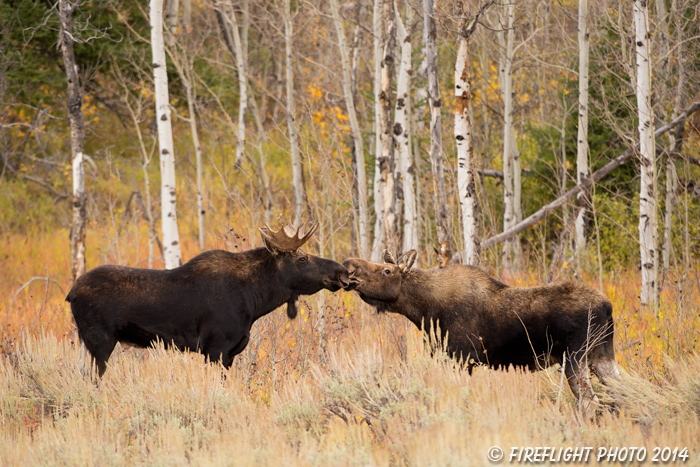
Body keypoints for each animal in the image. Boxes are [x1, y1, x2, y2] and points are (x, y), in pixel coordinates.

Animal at [65, 222, 350, 376]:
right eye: (302, 258)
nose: (342, 272)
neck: (255, 301)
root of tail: (70, 294)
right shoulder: (216, 348)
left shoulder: (229, 353)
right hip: (100, 342)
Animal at [342, 250, 620, 414]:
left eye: (386, 271)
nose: (348, 264)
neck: (423, 310)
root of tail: (607, 307)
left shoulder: (461, 358)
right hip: (602, 356)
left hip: (575, 357)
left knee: (589, 402)